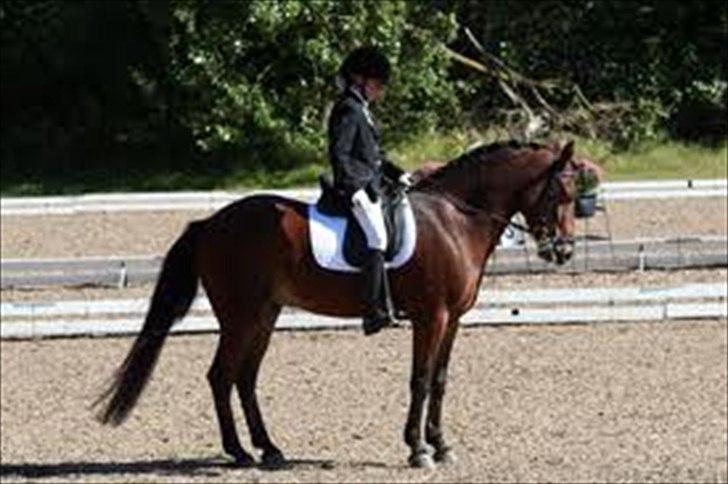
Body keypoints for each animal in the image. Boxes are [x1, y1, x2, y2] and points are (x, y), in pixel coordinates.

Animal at [94, 139, 586, 469]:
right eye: (560, 194)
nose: (563, 252)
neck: (455, 219)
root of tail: (211, 223)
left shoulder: (453, 320)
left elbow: (441, 381)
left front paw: (442, 445)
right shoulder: (431, 316)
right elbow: (420, 380)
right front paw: (417, 450)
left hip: (264, 315)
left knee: (245, 378)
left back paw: (269, 449)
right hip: (240, 316)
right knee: (221, 376)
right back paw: (238, 452)